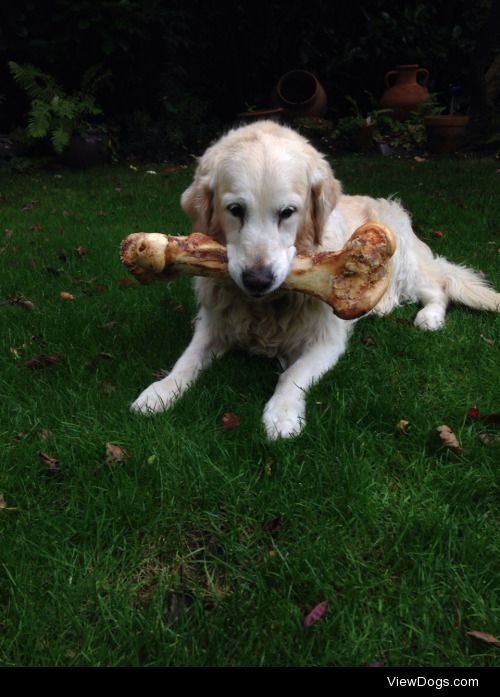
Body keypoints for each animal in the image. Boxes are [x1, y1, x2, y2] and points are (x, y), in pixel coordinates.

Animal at [132, 118, 500, 436]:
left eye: (287, 213)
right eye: (235, 210)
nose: (257, 280)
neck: (267, 307)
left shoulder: (327, 339)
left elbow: (291, 375)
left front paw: (281, 414)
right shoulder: (213, 324)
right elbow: (186, 360)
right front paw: (159, 392)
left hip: (404, 261)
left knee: (438, 287)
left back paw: (429, 317)